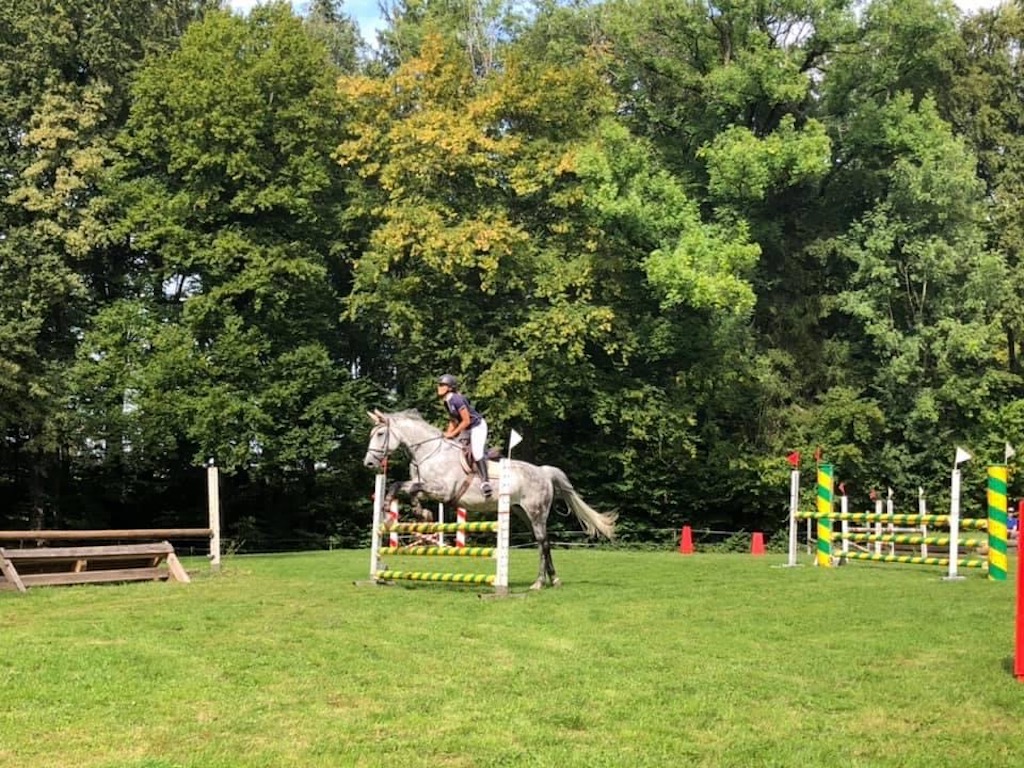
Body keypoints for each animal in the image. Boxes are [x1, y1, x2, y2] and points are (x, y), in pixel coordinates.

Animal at [363, 409, 616, 590]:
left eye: (380, 434)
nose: (369, 463)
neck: (430, 452)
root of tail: (543, 472)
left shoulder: (442, 490)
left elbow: (409, 488)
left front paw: (410, 512)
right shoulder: (427, 488)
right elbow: (402, 487)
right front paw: (400, 512)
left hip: (536, 512)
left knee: (543, 541)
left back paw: (539, 582)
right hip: (521, 512)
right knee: (542, 542)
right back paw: (552, 580)